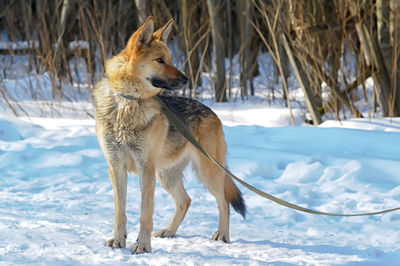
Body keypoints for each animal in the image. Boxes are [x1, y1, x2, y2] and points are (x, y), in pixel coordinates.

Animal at [93, 16, 247, 254]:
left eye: (171, 59)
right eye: (160, 60)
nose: (186, 79)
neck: (128, 103)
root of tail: (215, 115)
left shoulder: (146, 169)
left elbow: (145, 213)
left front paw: (142, 245)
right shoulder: (116, 167)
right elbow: (120, 212)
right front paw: (118, 241)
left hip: (206, 172)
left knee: (223, 202)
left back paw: (222, 234)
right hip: (166, 175)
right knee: (186, 200)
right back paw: (169, 231)